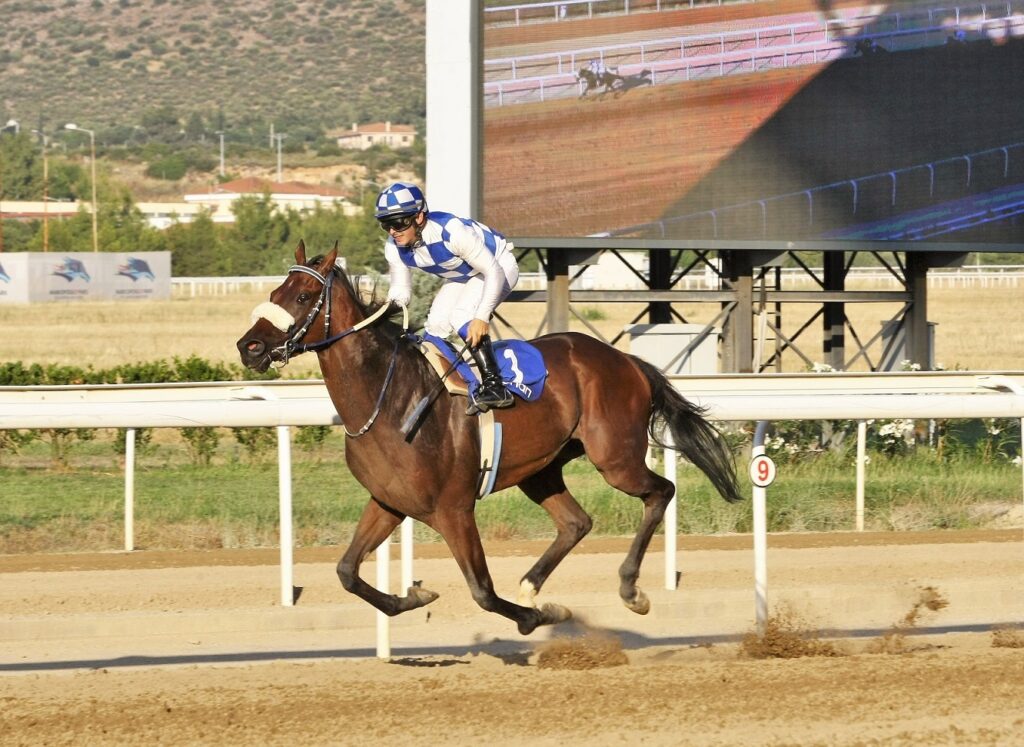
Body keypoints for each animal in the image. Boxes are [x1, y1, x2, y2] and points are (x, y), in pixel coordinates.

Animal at [235, 242, 741, 635]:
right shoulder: (389, 502)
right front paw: (414, 598)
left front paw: (536, 618)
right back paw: (533, 586)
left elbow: (481, 590)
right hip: (541, 468)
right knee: (576, 522)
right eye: (274, 292)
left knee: (661, 492)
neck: (389, 399)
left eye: (303, 295)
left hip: (614, 457)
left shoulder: (454, 509)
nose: (248, 346)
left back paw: (630, 589)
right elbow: (345, 571)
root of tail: (627, 360)